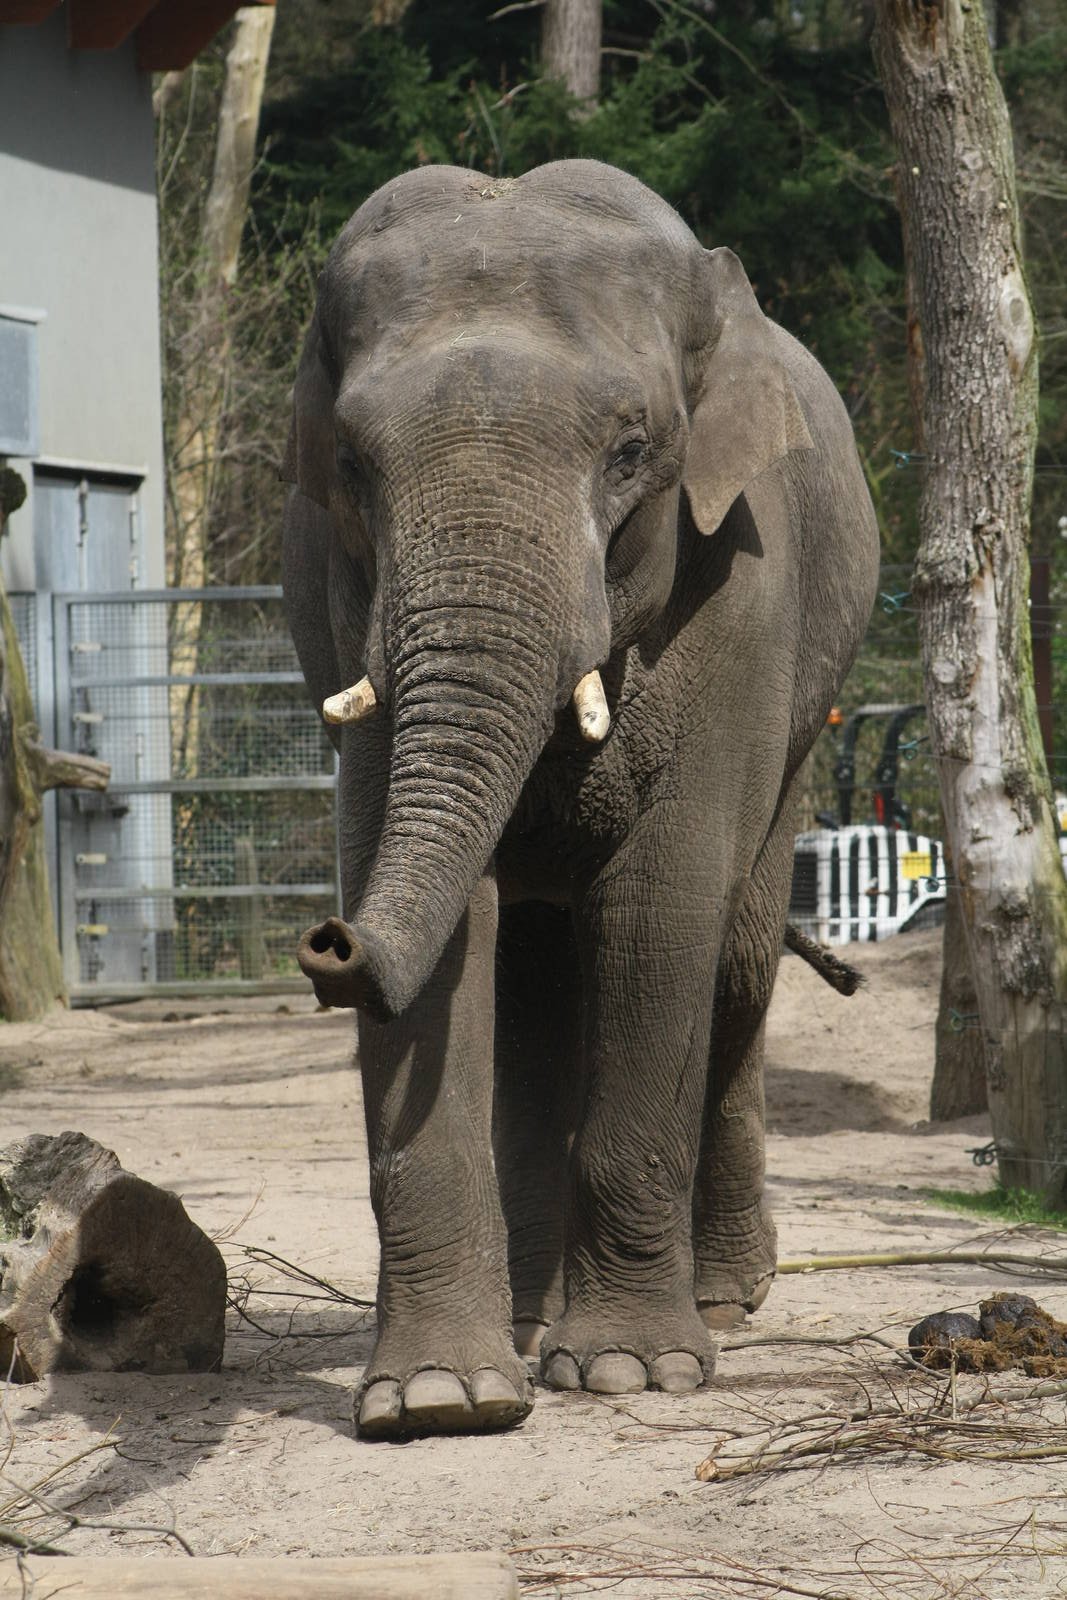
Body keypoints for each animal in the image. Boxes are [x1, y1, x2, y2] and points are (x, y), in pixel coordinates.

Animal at [282, 158, 880, 1440]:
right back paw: (525, 1311)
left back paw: (724, 1297)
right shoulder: (339, 599)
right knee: (536, 980)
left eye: (630, 450)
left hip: (807, 716)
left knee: (735, 956)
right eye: (350, 464)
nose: (327, 939)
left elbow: (655, 911)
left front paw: (626, 1373)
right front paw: (438, 1401)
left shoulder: (740, 588)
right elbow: (453, 925)